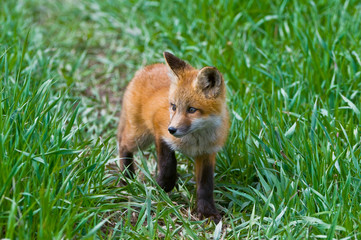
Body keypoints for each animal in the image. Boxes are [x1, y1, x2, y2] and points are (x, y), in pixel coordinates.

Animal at [118, 51, 231, 222]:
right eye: (173, 106)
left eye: (192, 109)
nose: (172, 129)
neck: (195, 141)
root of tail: (147, 68)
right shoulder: (160, 132)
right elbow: (168, 164)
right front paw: (162, 187)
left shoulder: (207, 152)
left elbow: (205, 185)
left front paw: (207, 212)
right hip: (140, 137)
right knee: (123, 144)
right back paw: (126, 177)